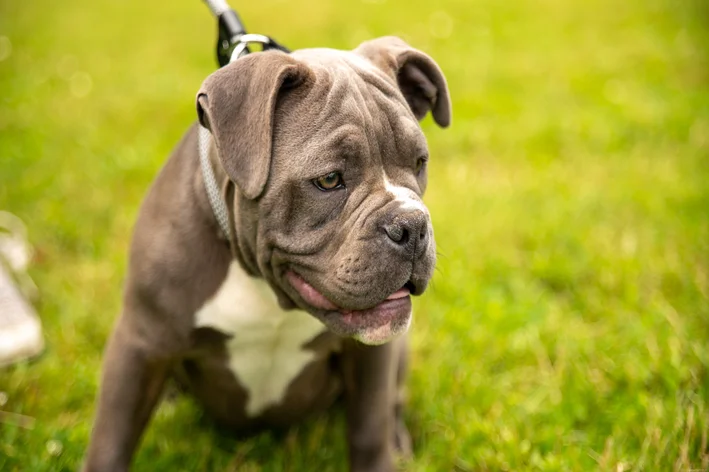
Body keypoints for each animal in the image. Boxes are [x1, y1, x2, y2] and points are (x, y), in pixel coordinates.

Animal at [83, 36, 448, 472]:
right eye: (329, 180)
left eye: (419, 163)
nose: (411, 225)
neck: (262, 284)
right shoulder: (139, 343)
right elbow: (111, 442)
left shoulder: (370, 355)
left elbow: (369, 428)